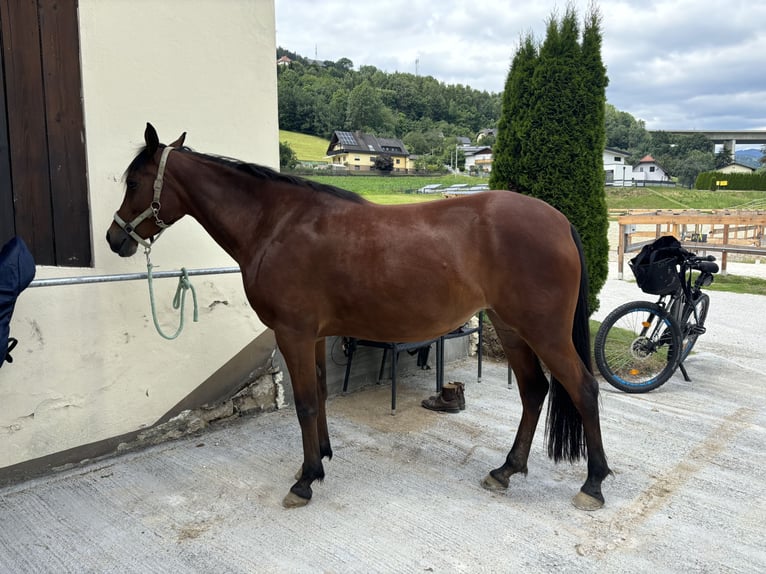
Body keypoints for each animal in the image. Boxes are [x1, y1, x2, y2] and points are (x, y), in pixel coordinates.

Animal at [106, 124, 612, 510]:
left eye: (133, 183)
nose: (115, 238)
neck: (276, 224)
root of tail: (559, 221)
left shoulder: (292, 333)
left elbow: (306, 403)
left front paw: (304, 481)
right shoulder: (311, 335)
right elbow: (322, 393)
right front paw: (321, 458)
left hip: (543, 331)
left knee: (582, 388)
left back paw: (592, 484)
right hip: (511, 327)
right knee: (534, 391)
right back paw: (506, 470)